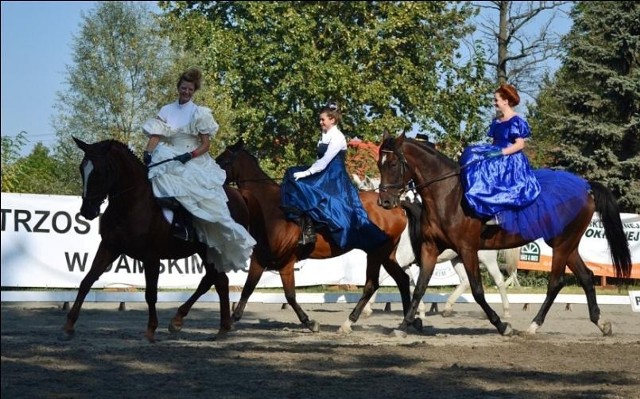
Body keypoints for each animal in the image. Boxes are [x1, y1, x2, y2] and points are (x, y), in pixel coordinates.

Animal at [64, 138, 255, 344]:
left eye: (101, 171)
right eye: (81, 169)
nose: (87, 212)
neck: (131, 203)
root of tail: (238, 195)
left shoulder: (151, 257)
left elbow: (151, 294)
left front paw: (150, 330)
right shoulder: (109, 247)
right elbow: (87, 281)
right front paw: (69, 326)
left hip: (213, 248)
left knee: (214, 279)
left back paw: (191, 322)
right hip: (207, 251)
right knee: (218, 280)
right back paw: (217, 326)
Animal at [215, 139, 410, 332]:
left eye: (222, 160)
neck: (270, 209)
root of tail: (396, 207)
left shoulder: (285, 262)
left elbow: (290, 295)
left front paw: (310, 322)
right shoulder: (260, 258)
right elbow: (248, 289)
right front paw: (232, 321)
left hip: (377, 253)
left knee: (372, 285)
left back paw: (350, 323)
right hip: (386, 254)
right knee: (402, 279)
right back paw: (407, 322)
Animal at [378, 134, 632, 338]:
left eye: (392, 163)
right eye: (379, 165)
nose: (385, 202)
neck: (447, 195)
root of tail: (585, 186)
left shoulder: (467, 249)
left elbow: (478, 291)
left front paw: (502, 326)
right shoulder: (430, 248)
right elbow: (419, 288)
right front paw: (403, 326)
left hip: (561, 244)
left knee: (555, 283)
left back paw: (532, 326)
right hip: (568, 245)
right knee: (587, 277)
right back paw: (601, 323)